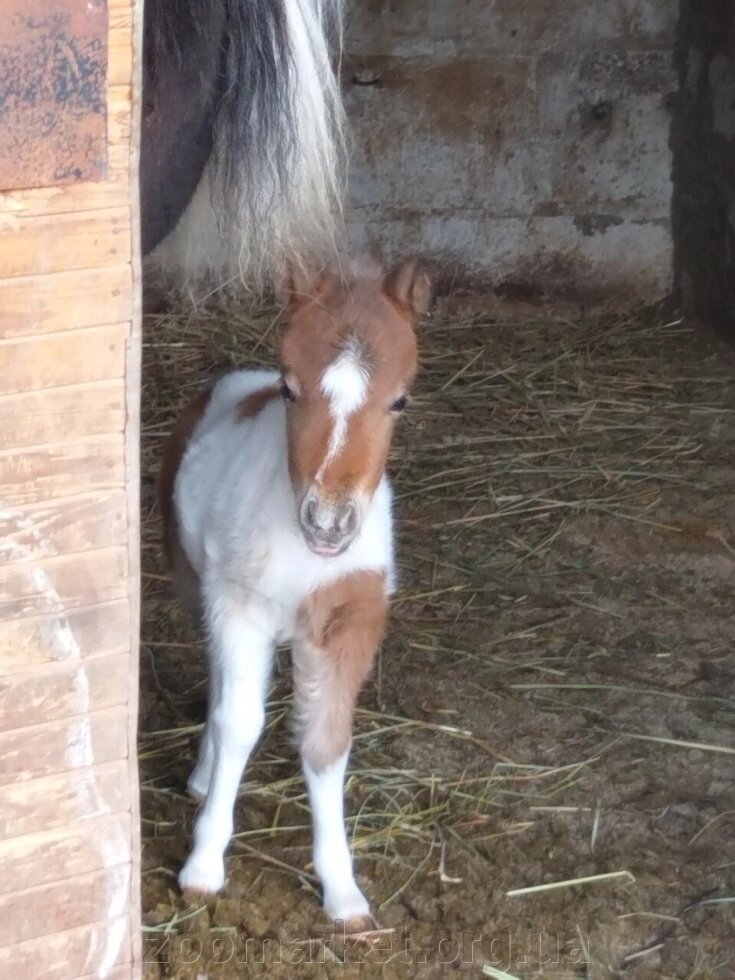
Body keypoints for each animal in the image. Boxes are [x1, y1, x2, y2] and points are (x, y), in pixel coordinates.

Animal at [158, 256, 428, 924]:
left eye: (401, 400)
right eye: (289, 388)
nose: (328, 524)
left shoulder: (352, 619)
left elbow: (326, 742)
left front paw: (343, 891)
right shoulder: (238, 606)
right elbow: (238, 722)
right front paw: (203, 866)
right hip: (197, 585)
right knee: (220, 685)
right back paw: (201, 775)